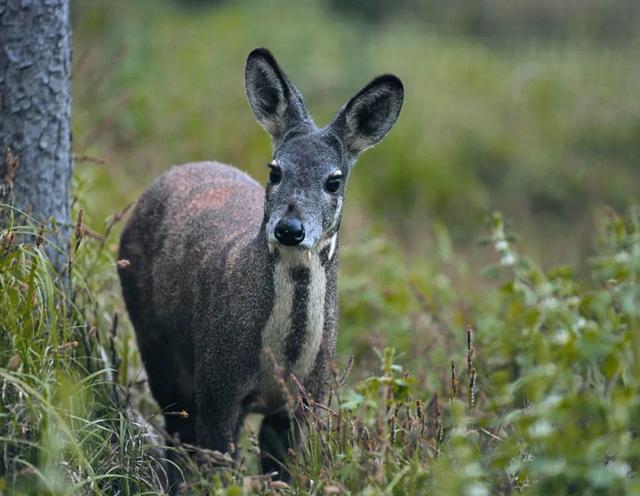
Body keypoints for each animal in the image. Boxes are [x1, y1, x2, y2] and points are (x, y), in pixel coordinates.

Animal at [117, 48, 402, 478]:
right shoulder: (218, 386)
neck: (282, 361)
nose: (289, 229)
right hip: (154, 339)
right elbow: (217, 465)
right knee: (175, 429)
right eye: (275, 170)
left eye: (334, 180)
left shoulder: (306, 401)